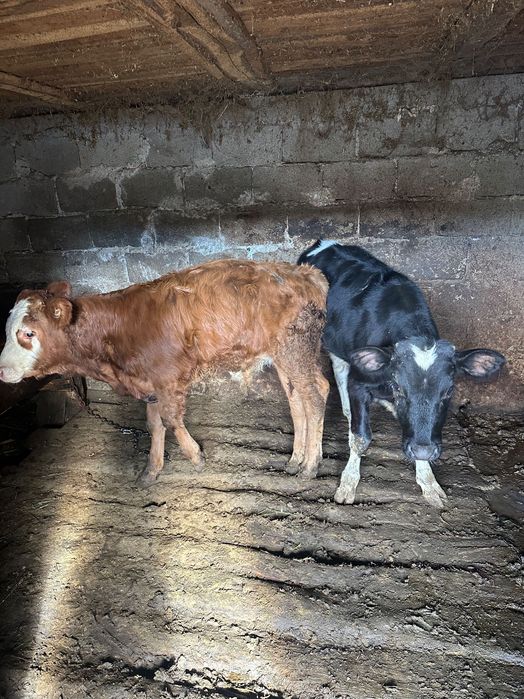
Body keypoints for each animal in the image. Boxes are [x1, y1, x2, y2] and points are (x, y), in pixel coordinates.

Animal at [0, 259, 330, 485]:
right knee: (298, 399)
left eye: (28, 333)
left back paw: (311, 466)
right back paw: (296, 459)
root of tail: (304, 273)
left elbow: (171, 419)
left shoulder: (169, 379)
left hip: (296, 350)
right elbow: (154, 424)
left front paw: (195, 456)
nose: (2, 371)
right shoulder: (150, 385)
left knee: (315, 397)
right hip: (284, 355)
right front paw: (152, 469)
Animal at [299, 240, 506, 508]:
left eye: (449, 391)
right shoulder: (359, 382)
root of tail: (324, 243)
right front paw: (348, 483)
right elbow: (361, 437)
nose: (424, 452)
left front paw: (428, 481)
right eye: (399, 388)